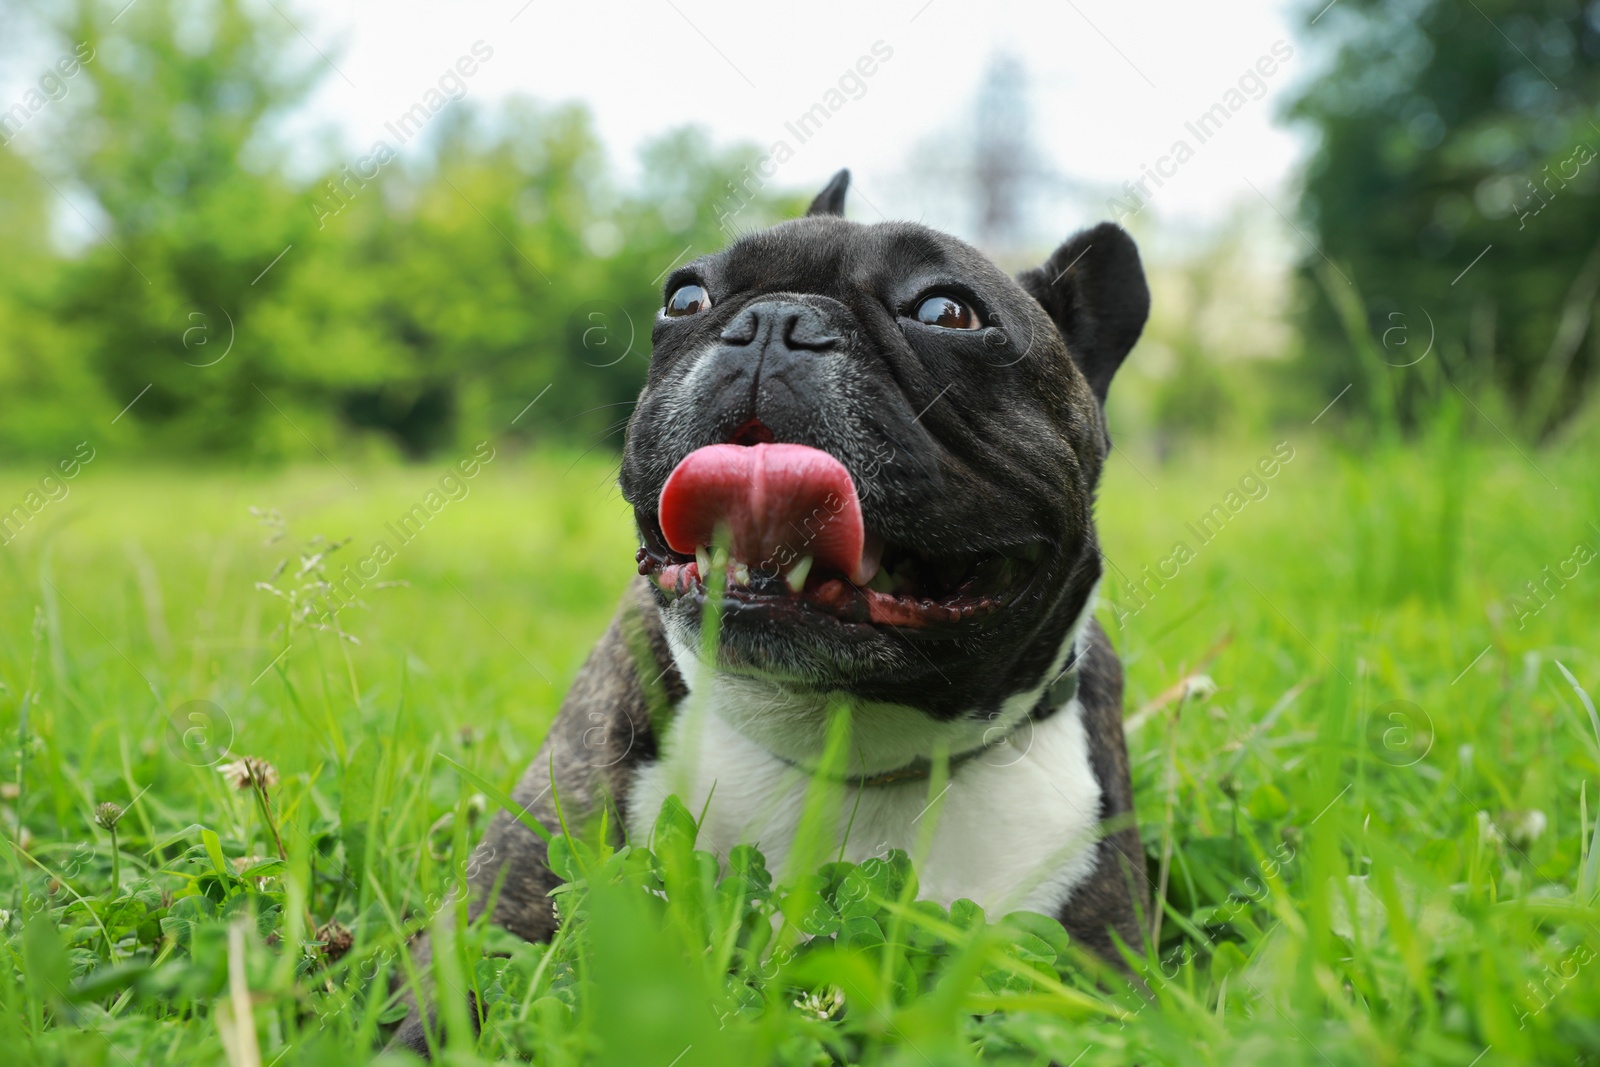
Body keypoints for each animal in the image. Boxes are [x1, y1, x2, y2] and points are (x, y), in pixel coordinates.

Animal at [396, 171, 1152, 1055]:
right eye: (685, 296)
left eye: (947, 312)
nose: (774, 322)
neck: (838, 736)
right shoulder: (503, 902)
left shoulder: (1096, 972)